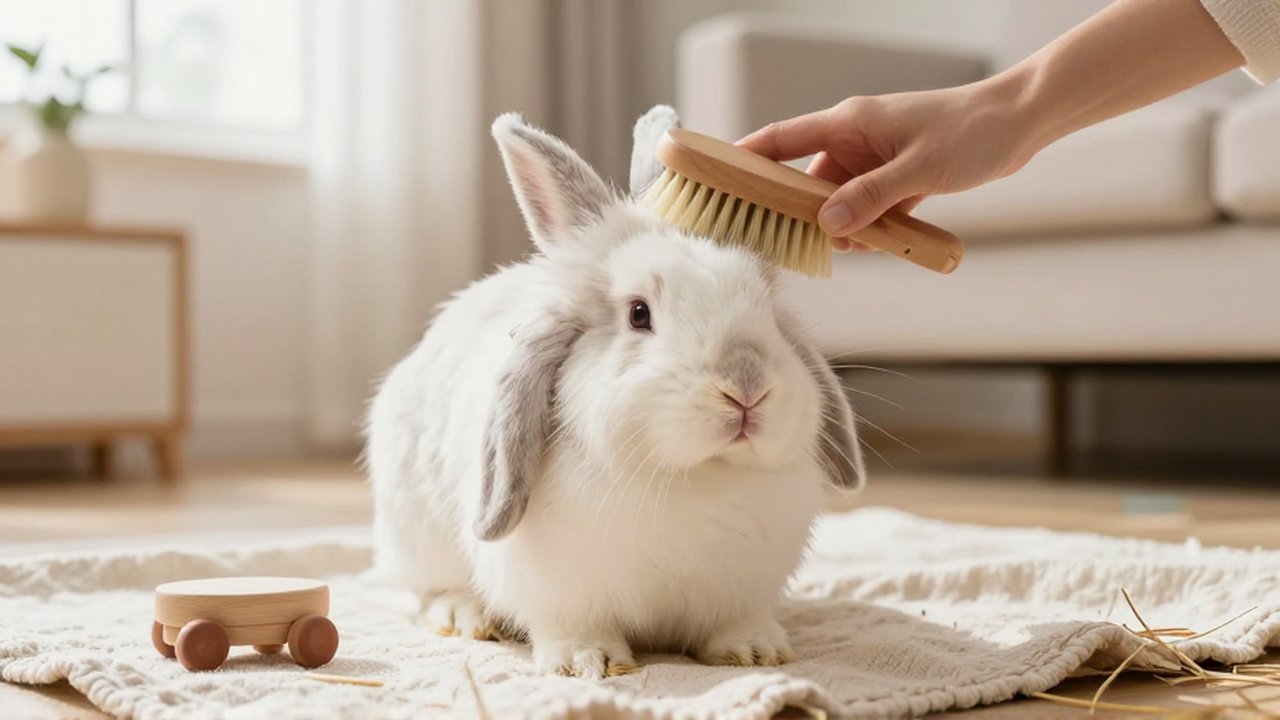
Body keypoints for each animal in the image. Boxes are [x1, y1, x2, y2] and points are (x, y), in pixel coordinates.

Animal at [366, 105, 865, 679]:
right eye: (639, 314)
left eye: (767, 308)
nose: (746, 387)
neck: (692, 476)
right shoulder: (562, 591)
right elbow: (574, 626)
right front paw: (590, 663)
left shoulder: (741, 590)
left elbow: (735, 623)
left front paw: (755, 653)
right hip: (416, 530)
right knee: (428, 589)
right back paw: (464, 616)